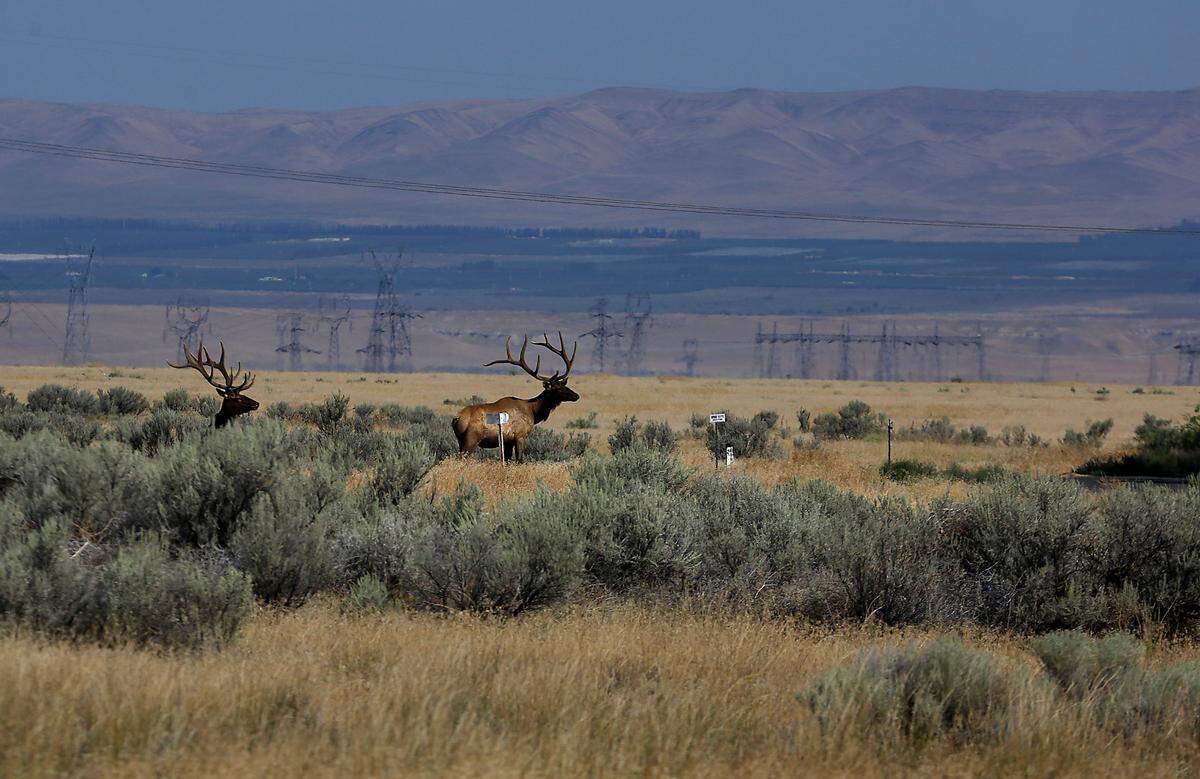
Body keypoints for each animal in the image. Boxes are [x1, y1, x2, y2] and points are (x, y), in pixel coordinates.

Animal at [453, 332, 579, 462]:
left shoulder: (508, 442)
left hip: (460, 441)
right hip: (471, 440)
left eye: (564, 385)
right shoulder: (520, 436)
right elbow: (519, 460)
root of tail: (457, 418)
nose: (576, 395)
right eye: (557, 388)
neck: (533, 411)